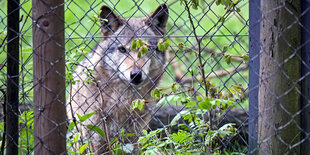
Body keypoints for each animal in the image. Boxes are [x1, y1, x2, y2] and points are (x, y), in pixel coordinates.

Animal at [68, 3, 168, 154]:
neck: (123, 100)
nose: (136, 74)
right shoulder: (96, 140)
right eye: (122, 49)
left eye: (147, 49)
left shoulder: (133, 139)